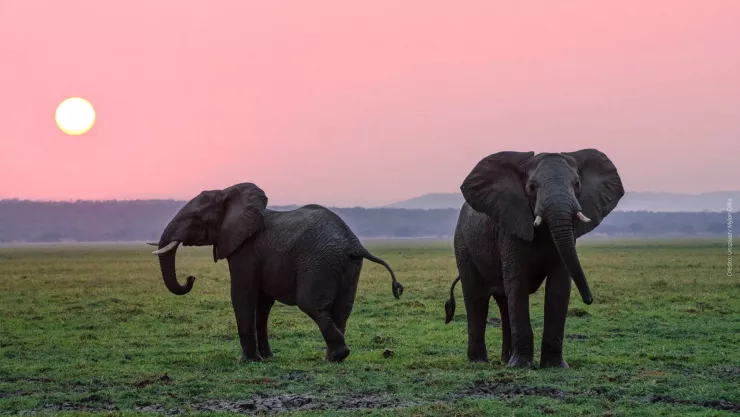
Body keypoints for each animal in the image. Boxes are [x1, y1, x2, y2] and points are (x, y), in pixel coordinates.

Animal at [149, 182, 403, 362]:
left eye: (196, 217)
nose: (190, 278)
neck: (229, 193)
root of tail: (354, 243)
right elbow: (262, 304)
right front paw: (267, 358)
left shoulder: (246, 249)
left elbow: (242, 295)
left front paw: (248, 361)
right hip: (348, 265)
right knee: (342, 309)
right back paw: (332, 358)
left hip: (320, 261)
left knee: (312, 305)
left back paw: (336, 356)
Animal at [444, 149, 623, 369]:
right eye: (531, 187)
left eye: (577, 184)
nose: (589, 300)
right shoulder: (510, 227)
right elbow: (518, 283)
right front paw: (521, 366)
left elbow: (559, 286)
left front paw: (555, 366)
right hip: (463, 244)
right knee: (476, 297)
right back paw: (480, 361)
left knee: (504, 303)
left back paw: (505, 360)